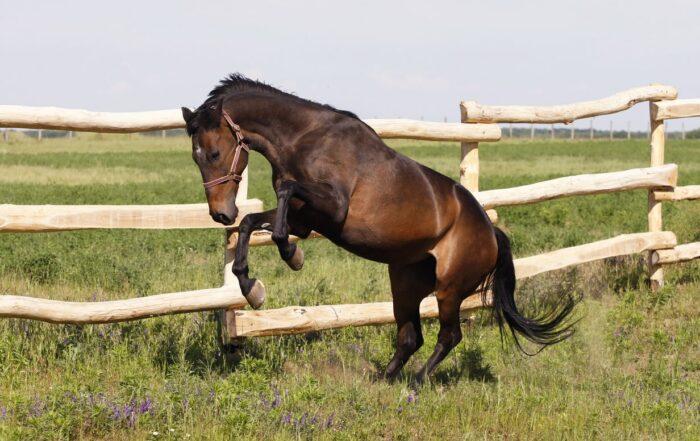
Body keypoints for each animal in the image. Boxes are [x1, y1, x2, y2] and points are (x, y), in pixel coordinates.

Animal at [182, 74, 577, 381]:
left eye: (214, 153)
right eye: (195, 157)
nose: (220, 214)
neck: (305, 139)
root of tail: (491, 234)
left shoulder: (332, 206)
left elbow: (284, 194)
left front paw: (290, 255)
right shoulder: (306, 219)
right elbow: (252, 222)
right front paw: (253, 287)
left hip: (449, 290)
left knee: (449, 336)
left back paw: (417, 381)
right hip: (405, 283)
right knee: (410, 337)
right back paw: (384, 379)